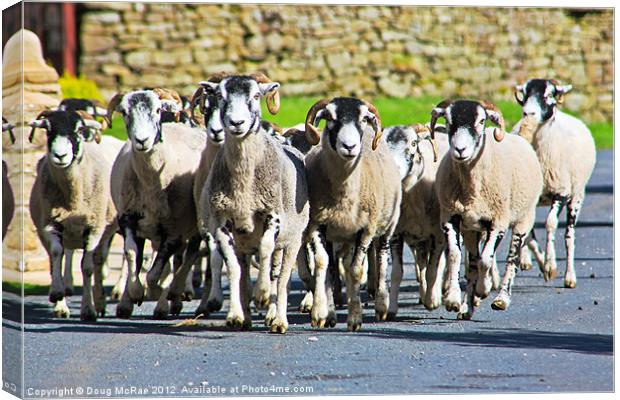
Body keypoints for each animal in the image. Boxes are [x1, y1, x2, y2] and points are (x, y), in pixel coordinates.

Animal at [105, 88, 205, 318]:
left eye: (158, 110)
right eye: (124, 112)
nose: (142, 141)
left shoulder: (174, 230)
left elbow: (153, 274)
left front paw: (156, 292)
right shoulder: (128, 219)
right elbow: (132, 256)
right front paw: (135, 293)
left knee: (189, 256)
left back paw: (173, 294)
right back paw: (129, 304)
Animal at [197, 73, 308, 332]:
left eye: (256, 95)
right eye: (219, 96)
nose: (236, 123)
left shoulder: (273, 214)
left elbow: (266, 249)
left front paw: (263, 294)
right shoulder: (222, 222)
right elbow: (233, 268)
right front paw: (236, 316)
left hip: (293, 240)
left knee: (282, 278)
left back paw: (278, 319)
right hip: (245, 245)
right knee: (248, 272)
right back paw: (247, 316)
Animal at [302, 97, 402, 332]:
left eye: (364, 118)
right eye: (329, 117)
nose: (349, 146)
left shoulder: (366, 230)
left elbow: (357, 270)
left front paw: (355, 319)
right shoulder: (318, 224)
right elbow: (323, 263)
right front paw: (322, 313)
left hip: (387, 226)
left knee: (381, 257)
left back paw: (381, 305)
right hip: (341, 236)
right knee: (338, 266)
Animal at [432, 97, 544, 318]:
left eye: (482, 121)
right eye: (448, 120)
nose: (460, 150)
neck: (471, 191)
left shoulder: (498, 222)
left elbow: (487, 259)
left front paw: (483, 289)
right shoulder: (450, 217)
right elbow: (456, 256)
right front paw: (453, 300)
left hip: (523, 219)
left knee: (511, 258)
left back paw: (501, 299)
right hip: (471, 230)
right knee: (473, 262)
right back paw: (467, 307)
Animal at [512, 79, 600, 288]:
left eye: (549, 95)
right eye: (525, 94)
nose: (528, 113)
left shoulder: (560, 192)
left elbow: (550, 224)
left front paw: (550, 266)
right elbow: (529, 234)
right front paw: (541, 261)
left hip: (576, 196)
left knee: (569, 235)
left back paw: (570, 277)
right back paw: (526, 260)